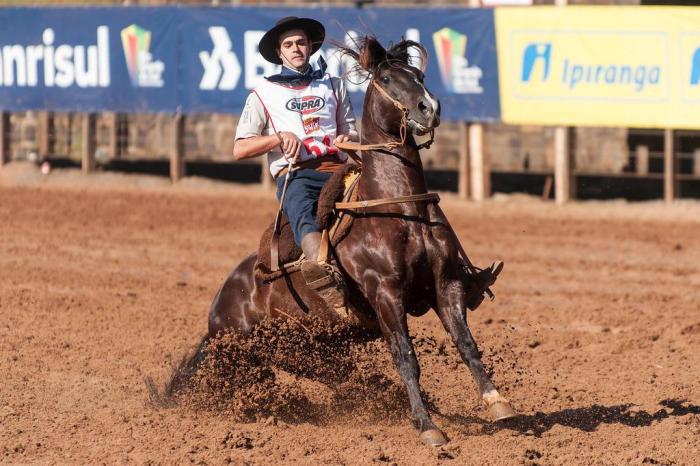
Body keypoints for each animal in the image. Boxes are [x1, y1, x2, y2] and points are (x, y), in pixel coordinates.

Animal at [202, 37, 516, 448]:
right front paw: (427, 426)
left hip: (311, 353)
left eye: (419, 76)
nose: (429, 108)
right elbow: (405, 357)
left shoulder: (445, 284)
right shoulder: (385, 293)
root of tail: (221, 304)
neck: (400, 206)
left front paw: (497, 403)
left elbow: (466, 344)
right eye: (386, 78)